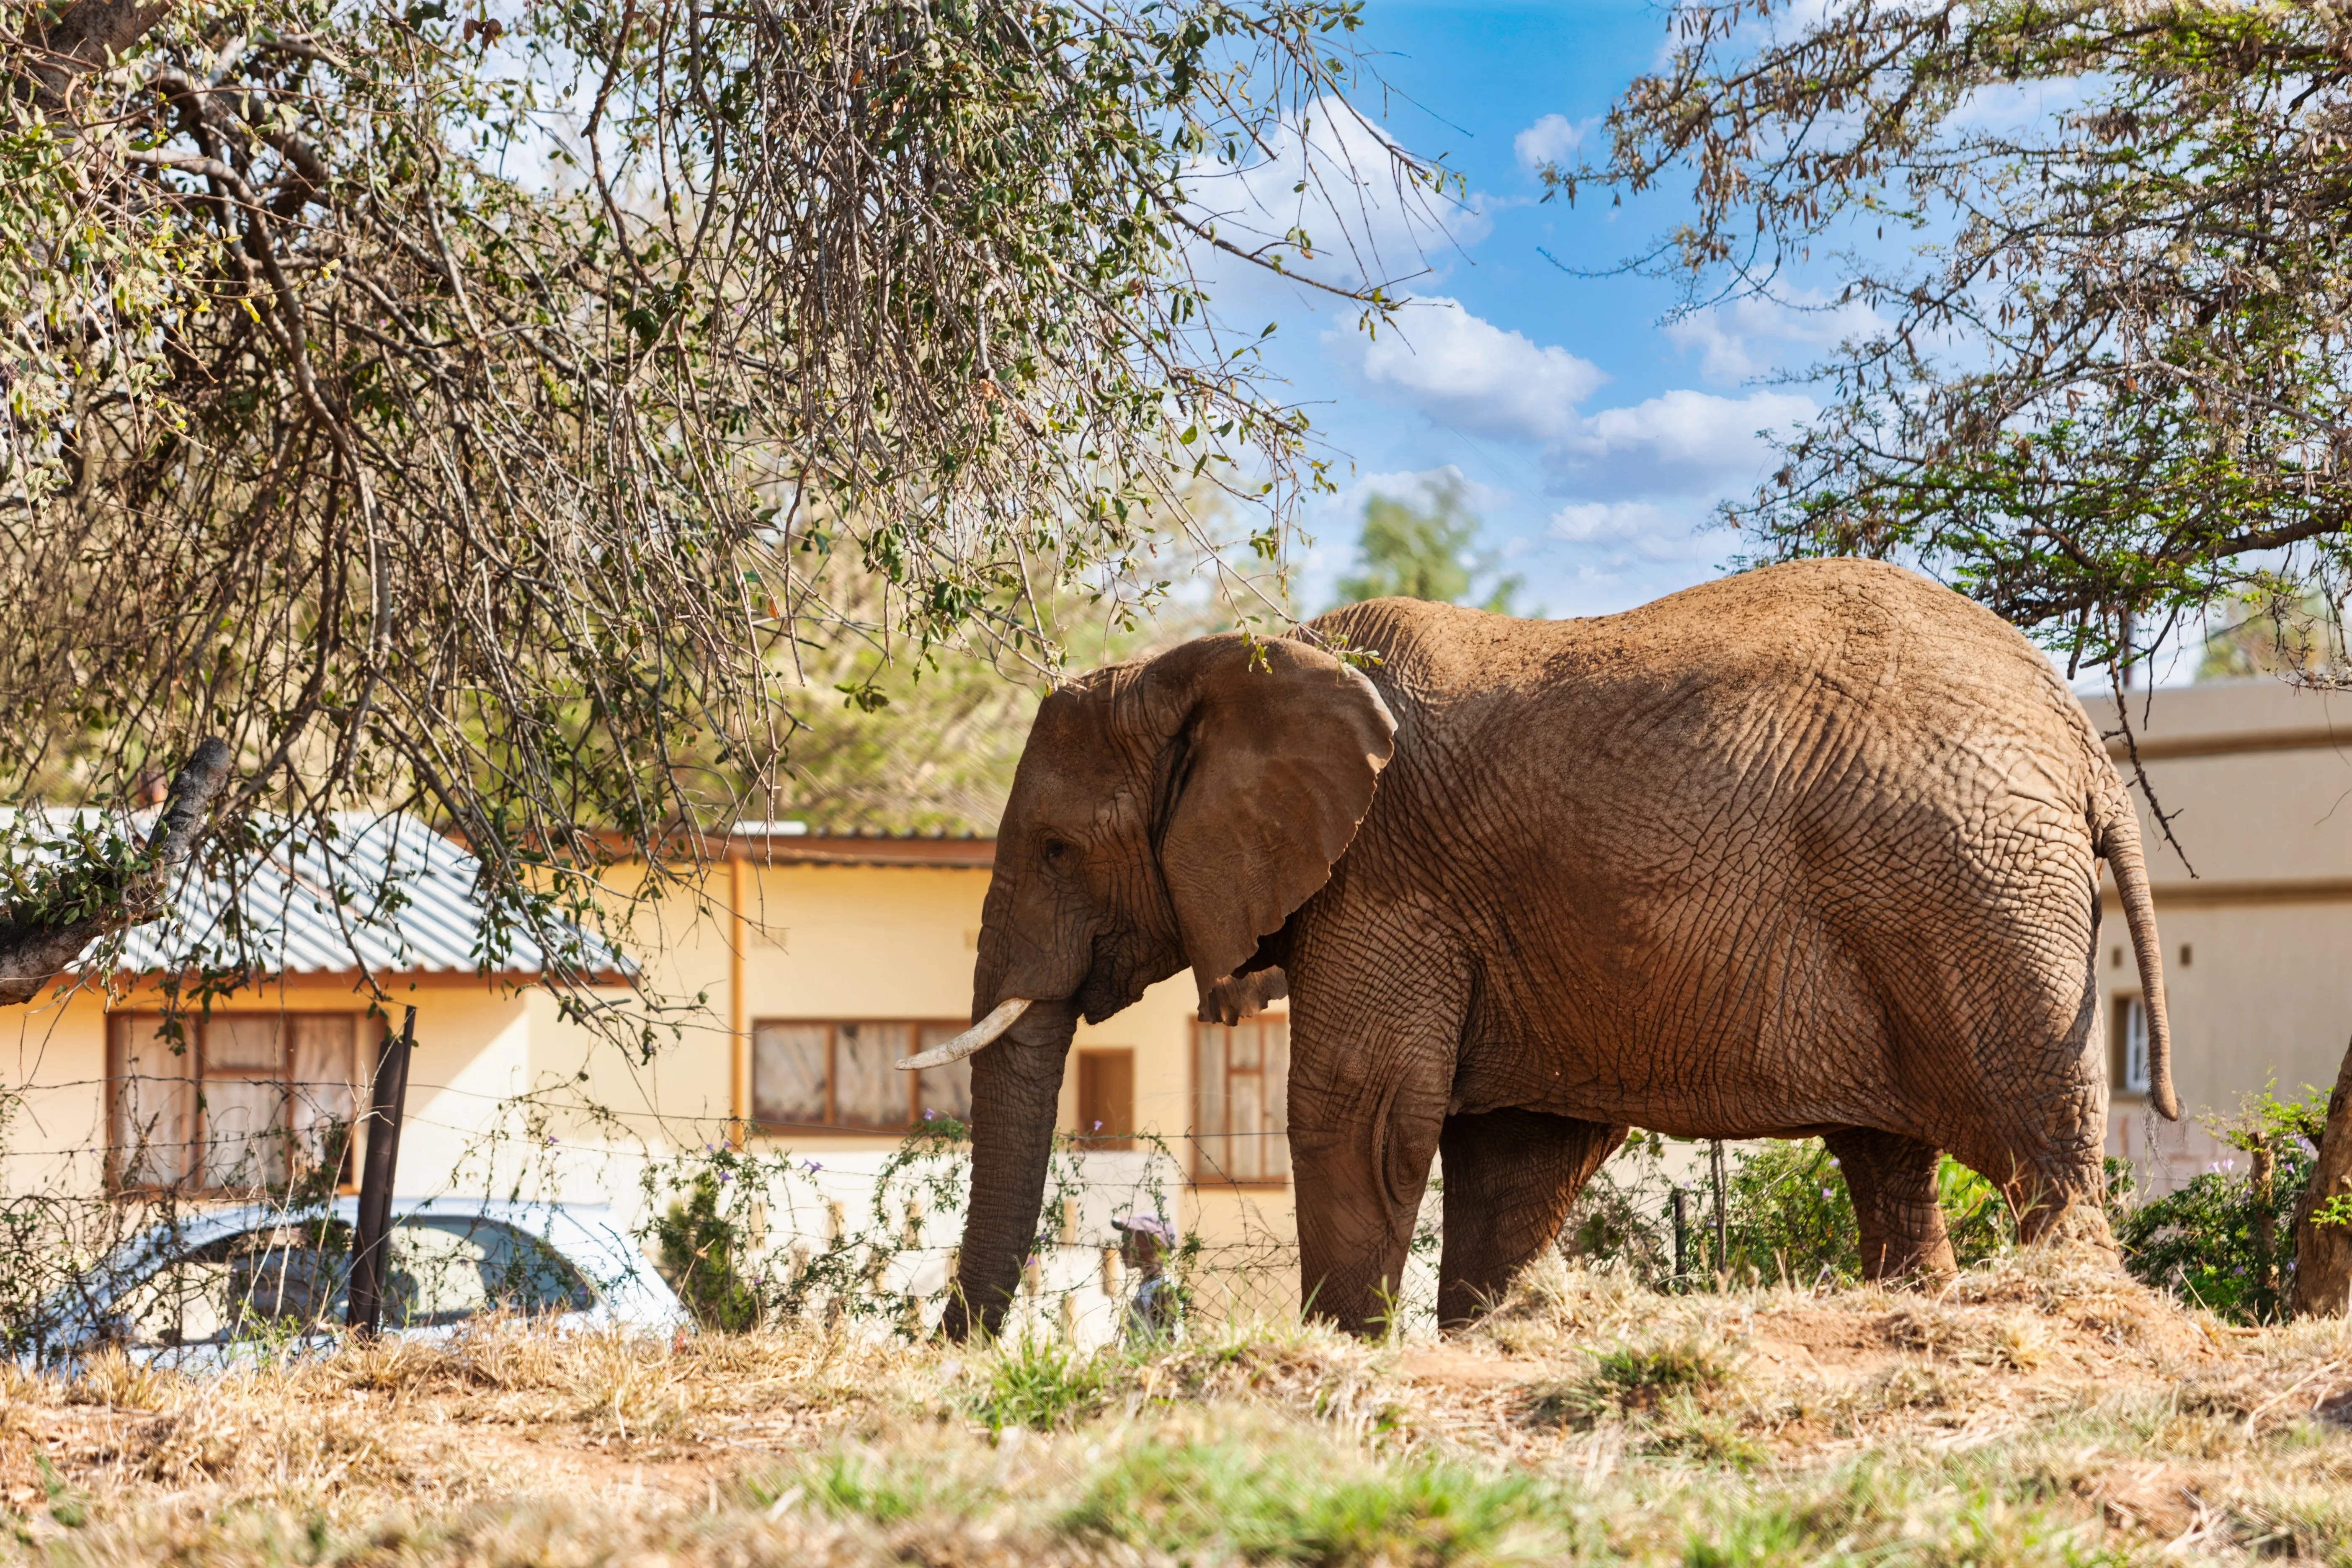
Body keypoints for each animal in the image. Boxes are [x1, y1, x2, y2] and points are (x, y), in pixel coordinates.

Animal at [907, 558, 2177, 1337]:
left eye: (1060, 848)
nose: (961, 1347)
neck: (1228, 662)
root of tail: (2078, 737)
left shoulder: (1389, 875)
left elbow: (1357, 1108)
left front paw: (1339, 1354)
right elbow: (1513, 1153)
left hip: (1973, 896)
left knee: (2035, 1141)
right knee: (1889, 1159)